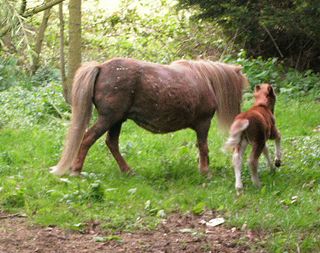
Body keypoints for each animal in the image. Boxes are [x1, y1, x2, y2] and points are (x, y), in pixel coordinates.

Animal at [49, 57, 248, 176]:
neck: (204, 78)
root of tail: (101, 67)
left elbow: (201, 147)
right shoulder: (203, 123)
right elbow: (204, 147)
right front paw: (205, 171)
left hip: (117, 120)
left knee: (111, 143)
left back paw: (127, 170)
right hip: (108, 119)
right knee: (88, 138)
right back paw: (76, 170)